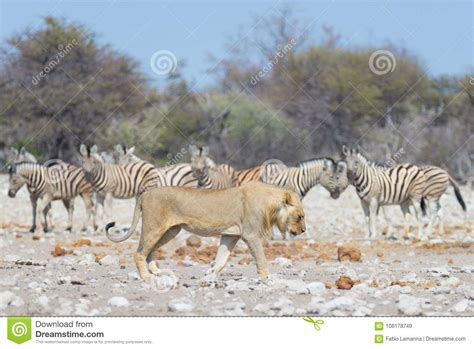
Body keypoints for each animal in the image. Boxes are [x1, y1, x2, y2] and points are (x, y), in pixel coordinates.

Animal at [105, 181, 306, 282]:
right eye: (300, 216)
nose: (304, 230)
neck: (270, 206)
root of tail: (145, 193)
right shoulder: (251, 235)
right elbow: (261, 258)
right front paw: (266, 277)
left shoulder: (230, 235)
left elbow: (221, 259)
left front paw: (210, 274)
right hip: (154, 227)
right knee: (139, 252)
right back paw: (146, 276)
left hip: (170, 231)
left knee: (150, 251)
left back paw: (157, 272)